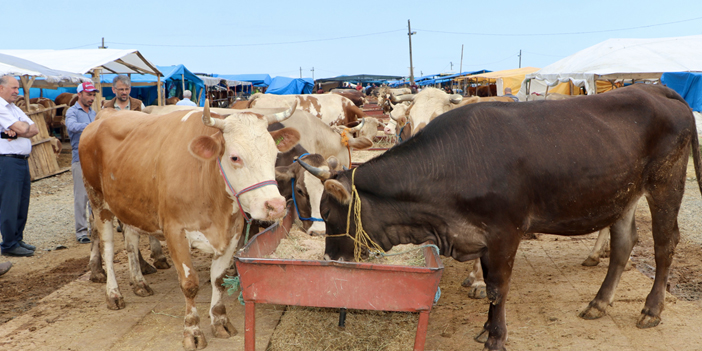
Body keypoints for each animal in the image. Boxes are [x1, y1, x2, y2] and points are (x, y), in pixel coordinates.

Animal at [81, 100, 302, 350]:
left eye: (274, 155)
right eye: (235, 158)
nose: (276, 206)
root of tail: (105, 114)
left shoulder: (232, 233)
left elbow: (219, 279)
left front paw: (220, 320)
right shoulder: (175, 232)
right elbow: (189, 284)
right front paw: (193, 331)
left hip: (129, 204)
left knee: (130, 243)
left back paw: (139, 283)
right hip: (97, 201)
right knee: (108, 248)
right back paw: (113, 293)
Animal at [298, 85, 702, 351]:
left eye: (329, 213)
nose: (331, 259)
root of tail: (655, 87)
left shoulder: (505, 233)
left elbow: (498, 288)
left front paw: (495, 337)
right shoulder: (479, 238)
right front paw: (487, 328)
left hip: (666, 183)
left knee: (665, 244)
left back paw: (651, 309)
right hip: (623, 194)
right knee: (622, 246)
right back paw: (599, 303)